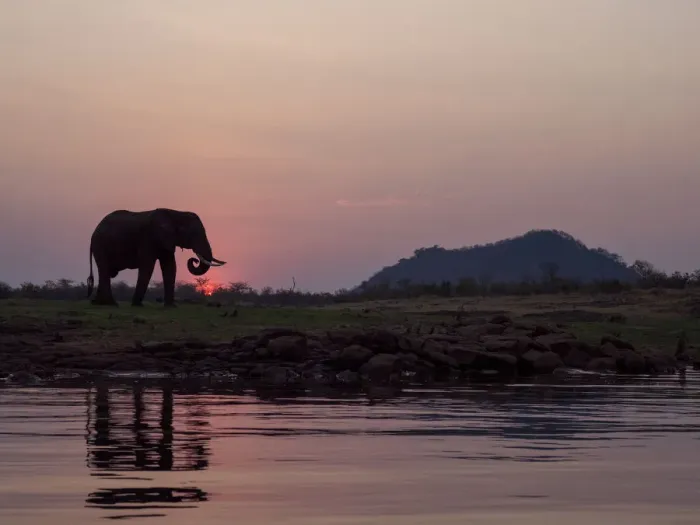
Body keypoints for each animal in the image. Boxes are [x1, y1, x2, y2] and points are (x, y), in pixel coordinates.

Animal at [86, 208, 226, 307]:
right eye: (193, 234)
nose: (194, 259)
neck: (175, 213)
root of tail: (94, 231)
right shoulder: (149, 238)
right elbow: (148, 266)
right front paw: (137, 305)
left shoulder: (166, 241)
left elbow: (170, 266)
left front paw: (171, 307)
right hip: (100, 245)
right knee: (104, 270)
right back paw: (111, 304)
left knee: (104, 272)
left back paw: (99, 303)